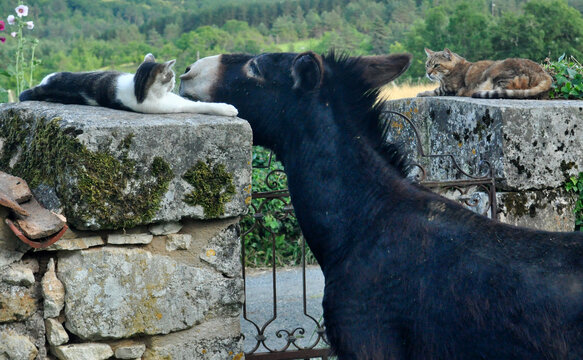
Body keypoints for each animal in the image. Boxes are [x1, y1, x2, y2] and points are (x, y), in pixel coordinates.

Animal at [20, 53, 240, 116]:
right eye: (171, 76)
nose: (174, 83)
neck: (137, 88)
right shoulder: (171, 104)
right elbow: (199, 105)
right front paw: (228, 108)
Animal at [420, 47, 552, 99]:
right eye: (427, 65)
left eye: (436, 65)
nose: (428, 73)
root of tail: (543, 72)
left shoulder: (450, 88)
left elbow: (435, 91)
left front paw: (422, 93)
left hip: (498, 73)